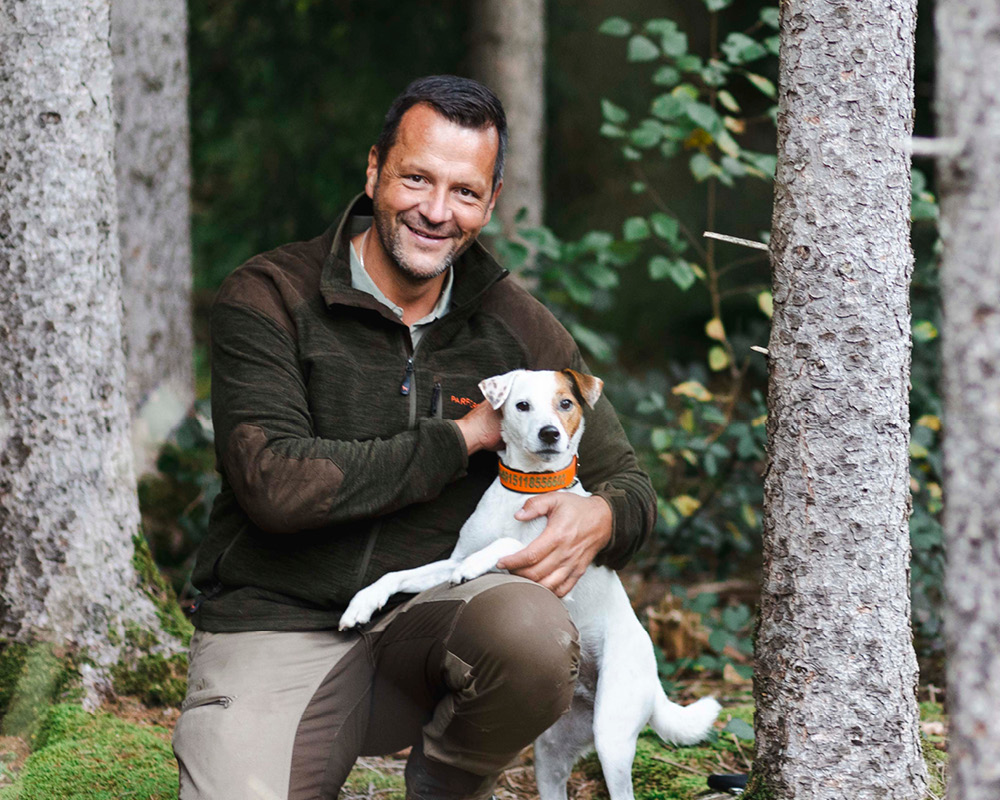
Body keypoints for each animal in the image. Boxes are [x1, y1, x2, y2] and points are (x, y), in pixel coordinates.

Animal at [340, 368, 721, 800]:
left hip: (612, 736)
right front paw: (362, 604)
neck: (527, 488)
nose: (550, 433)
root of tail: (654, 681)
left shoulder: (551, 556)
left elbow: (507, 545)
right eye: (522, 405)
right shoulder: (450, 558)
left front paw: (476, 566)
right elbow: (397, 575)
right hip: (550, 752)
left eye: (565, 404)